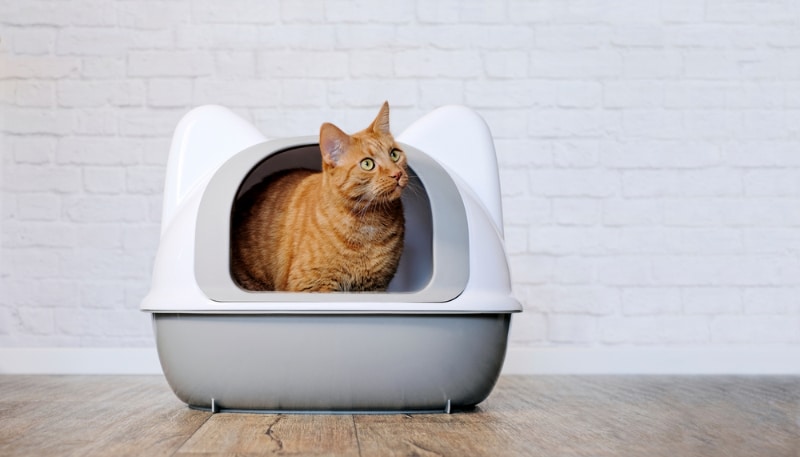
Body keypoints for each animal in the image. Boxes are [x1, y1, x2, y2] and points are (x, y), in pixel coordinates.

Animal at [230, 101, 406, 290]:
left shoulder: (374, 287)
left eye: (394, 154)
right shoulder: (313, 285)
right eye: (367, 164)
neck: (370, 224)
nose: (397, 174)